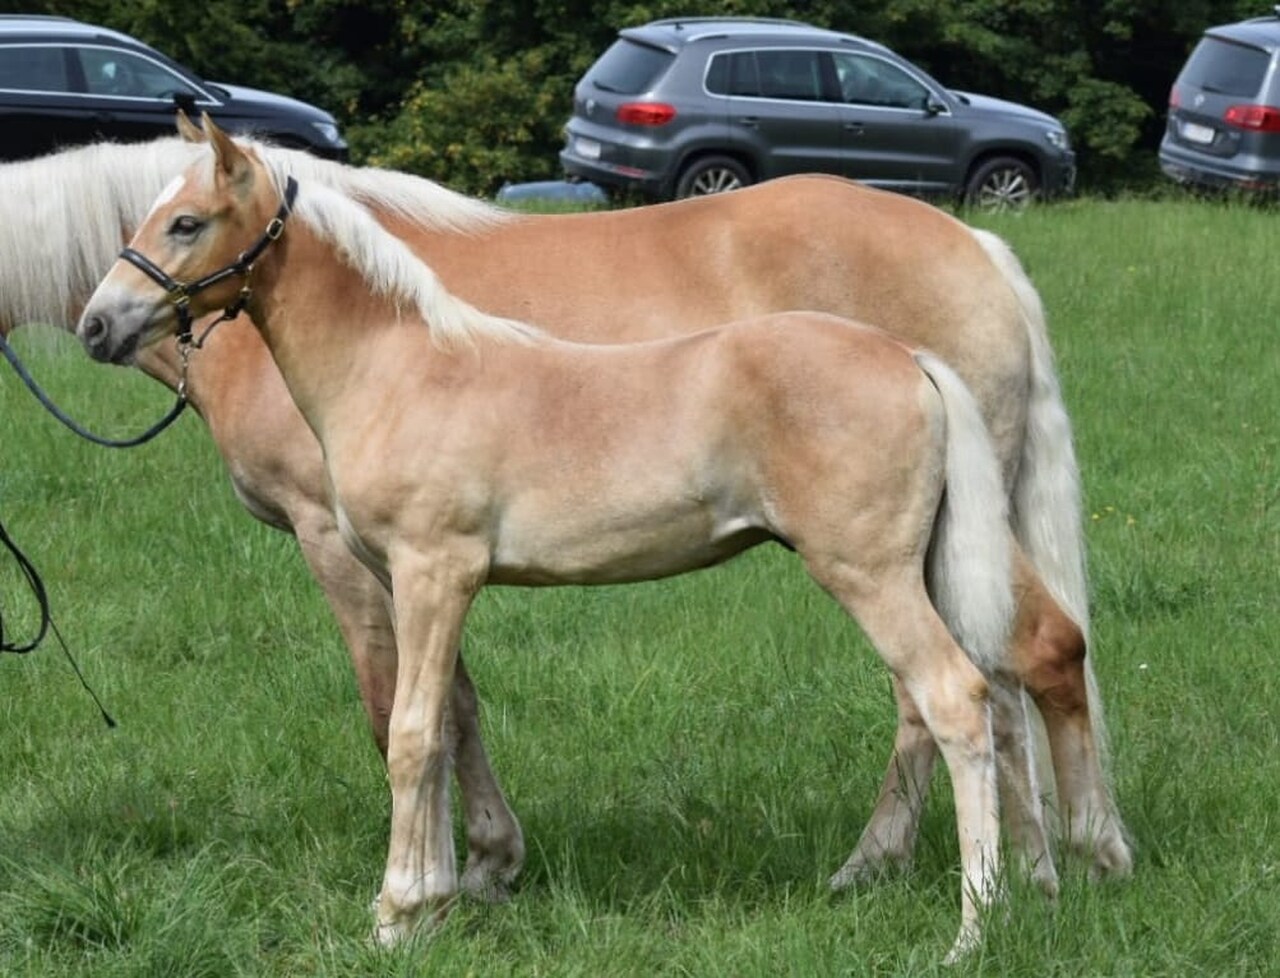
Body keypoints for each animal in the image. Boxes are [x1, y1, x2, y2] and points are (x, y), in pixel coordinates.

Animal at [0, 124, 1130, 892]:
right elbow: (452, 703)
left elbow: (397, 708)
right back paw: (1036, 866)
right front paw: (484, 867)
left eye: (183, 222)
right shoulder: (415, 559)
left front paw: (433, 882)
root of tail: (978, 246)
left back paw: (999, 862)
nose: (100, 323)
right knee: (1015, 663)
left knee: (988, 674)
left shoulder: (345, 547)